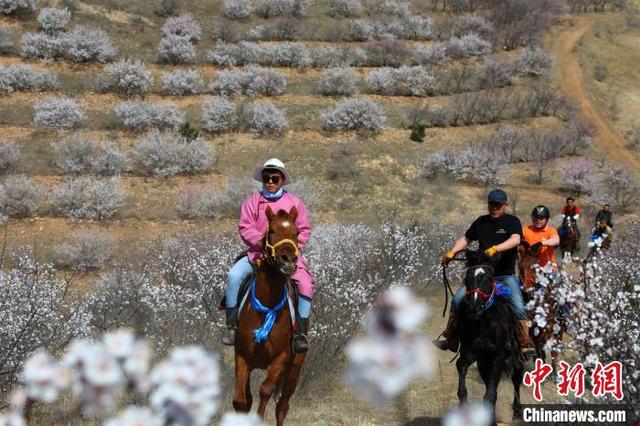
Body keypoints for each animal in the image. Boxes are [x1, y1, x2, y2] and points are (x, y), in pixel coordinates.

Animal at [234, 206, 306, 422]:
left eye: (296, 232)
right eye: (272, 230)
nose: (288, 260)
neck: (267, 307)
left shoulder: (280, 360)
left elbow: (265, 391)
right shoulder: (242, 357)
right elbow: (240, 401)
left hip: (294, 370)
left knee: (282, 406)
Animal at [452, 251, 524, 424]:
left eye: (489, 279)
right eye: (467, 279)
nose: (474, 308)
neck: (483, 323)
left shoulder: (498, 356)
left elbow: (491, 394)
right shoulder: (470, 352)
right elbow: (461, 367)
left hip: (515, 354)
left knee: (517, 375)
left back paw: (517, 410)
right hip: (483, 362)